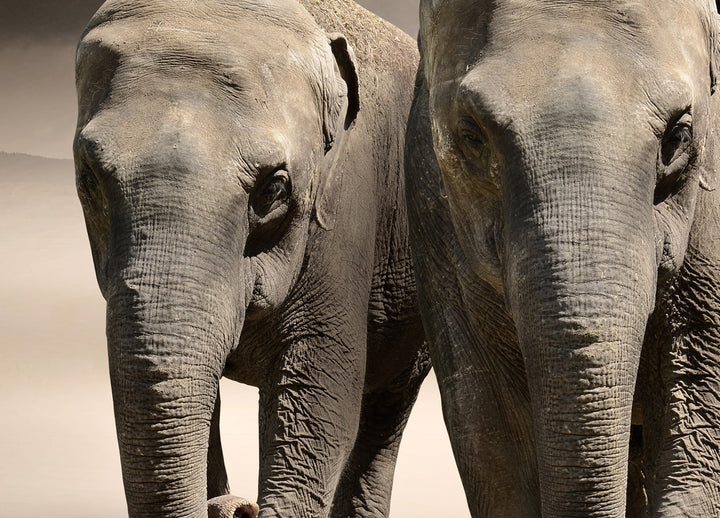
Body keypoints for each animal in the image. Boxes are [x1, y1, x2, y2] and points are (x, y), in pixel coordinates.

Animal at [73, 0, 427, 516]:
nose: (238, 506)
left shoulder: (347, 213)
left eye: (273, 189)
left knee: (385, 407)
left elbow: (319, 390)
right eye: (88, 179)